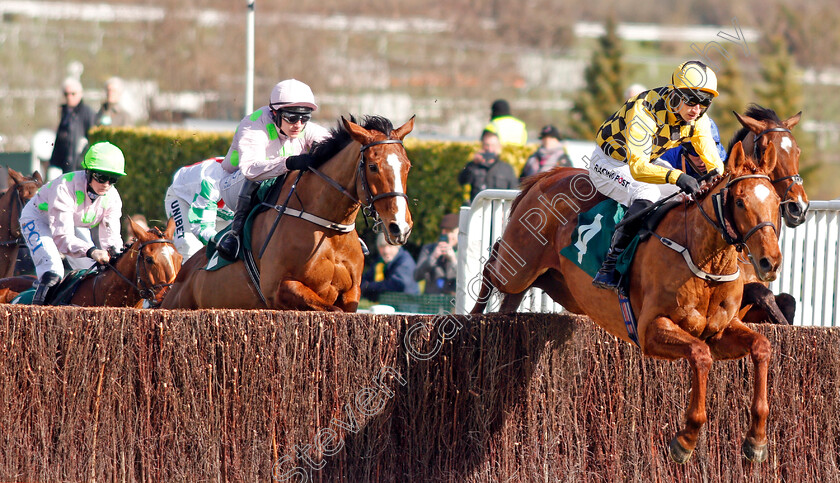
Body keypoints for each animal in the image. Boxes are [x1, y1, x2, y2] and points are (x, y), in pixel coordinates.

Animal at [159, 114, 416, 310]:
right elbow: (330, 309)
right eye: (373, 166)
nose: (400, 227)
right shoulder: (279, 288)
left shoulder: (352, 292)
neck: (327, 227)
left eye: (407, 166)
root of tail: (184, 273)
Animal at [472, 141, 780, 466]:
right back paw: (474, 319)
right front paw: (686, 439)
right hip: (518, 266)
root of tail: (549, 175)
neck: (706, 260)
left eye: (776, 201)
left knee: (510, 297)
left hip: (555, 284)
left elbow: (761, 347)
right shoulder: (650, 330)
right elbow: (700, 354)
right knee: (492, 266)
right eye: (740, 202)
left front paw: (757, 439)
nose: (770, 262)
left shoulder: (721, 332)